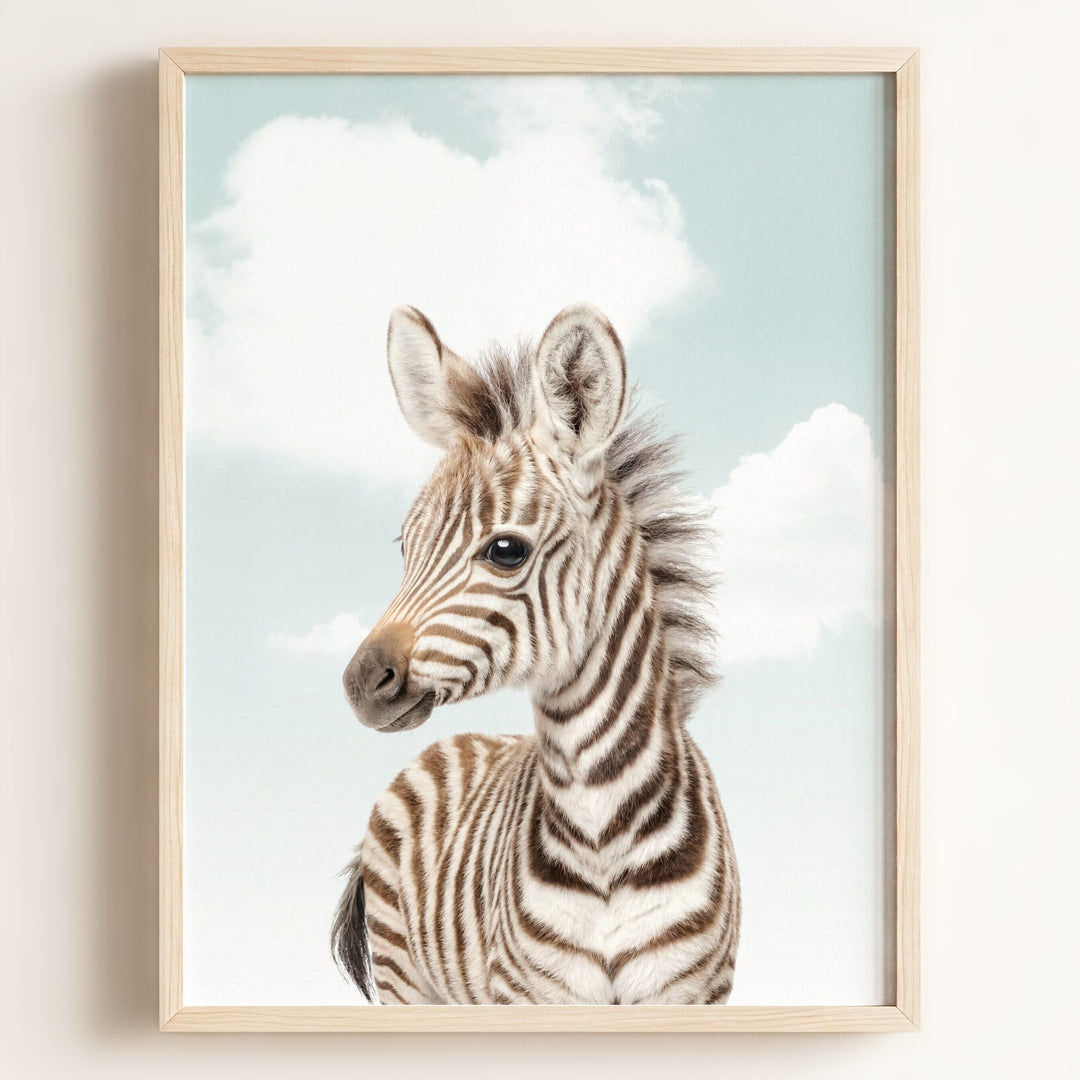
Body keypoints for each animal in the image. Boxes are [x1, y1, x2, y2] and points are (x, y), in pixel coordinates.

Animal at [331, 302, 740, 1005]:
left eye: (506, 551)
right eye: (405, 547)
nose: (361, 682)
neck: (601, 828)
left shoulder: (692, 993)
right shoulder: (531, 994)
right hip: (405, 976)